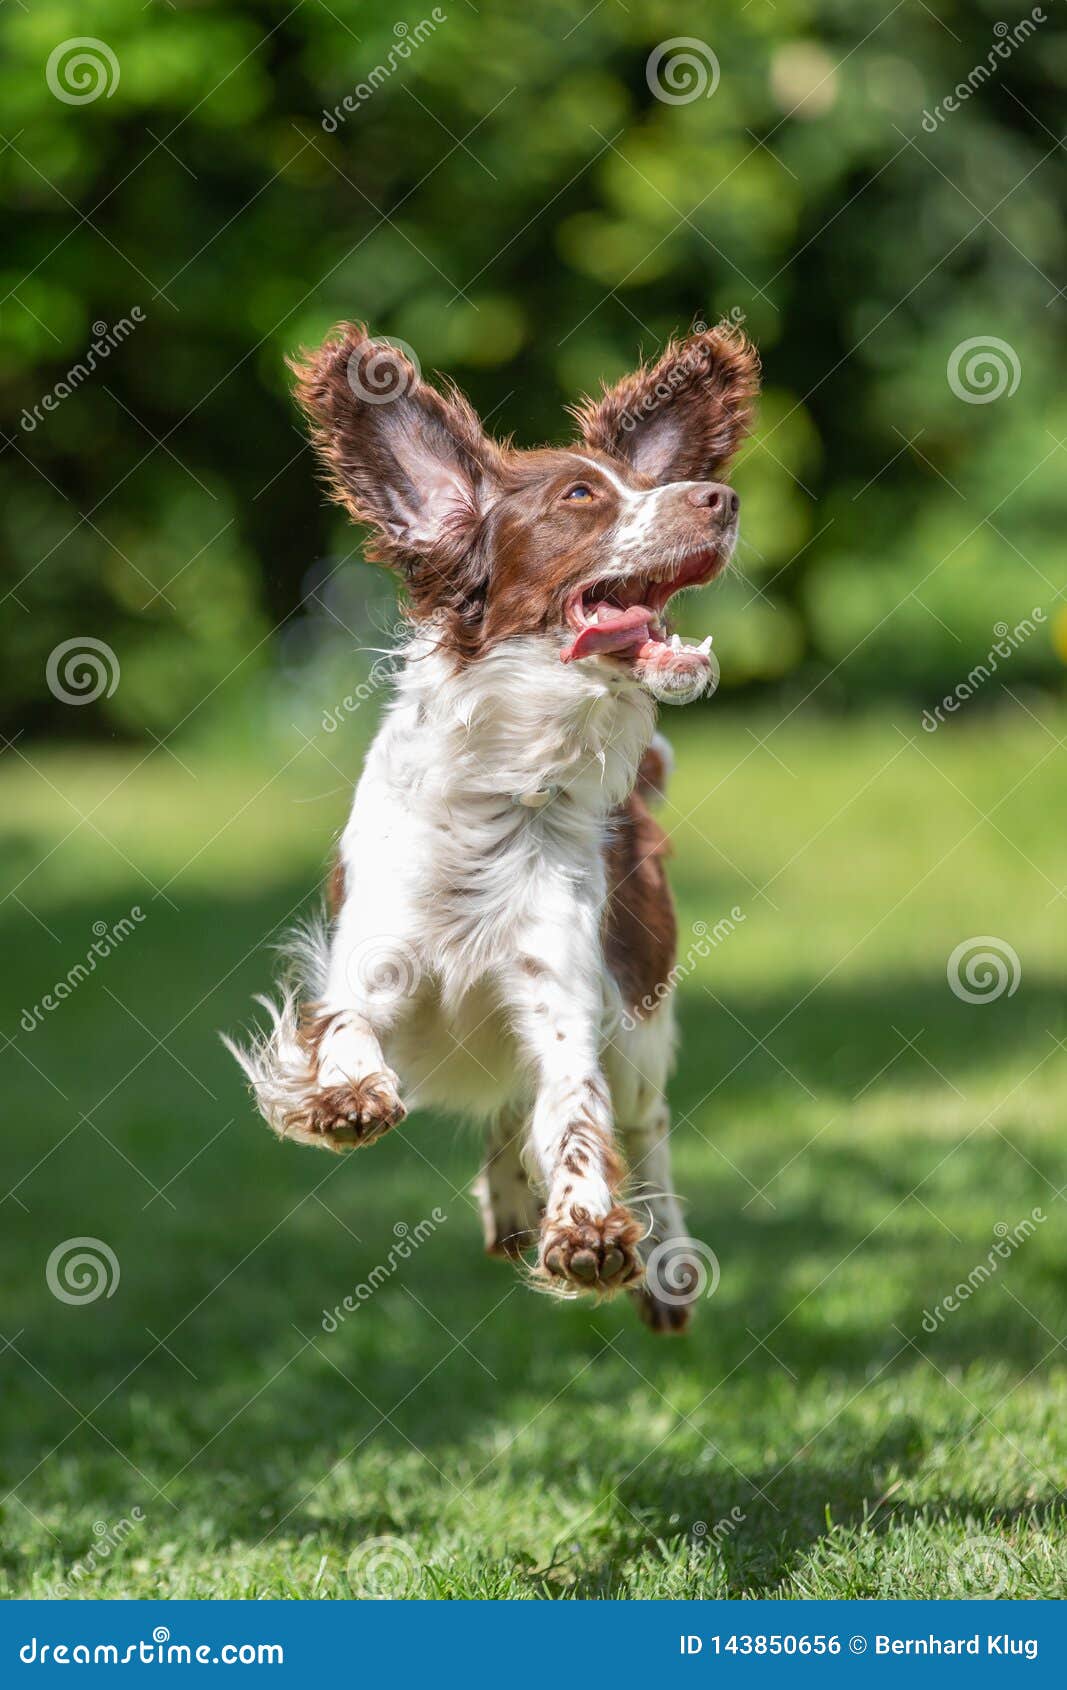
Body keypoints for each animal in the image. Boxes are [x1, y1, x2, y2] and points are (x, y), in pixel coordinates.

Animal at [228, 319, 760, 1331]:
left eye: (643, 484)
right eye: (580, 496)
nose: (721, 498)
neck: (500, 791)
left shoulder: (563, 999)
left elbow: (579, 1113)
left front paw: (589, 1230)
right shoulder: (370, 959)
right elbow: (346, 1031)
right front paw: (350, 1095)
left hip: (638, 1018)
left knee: (643, 1126)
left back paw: (661, 1263)